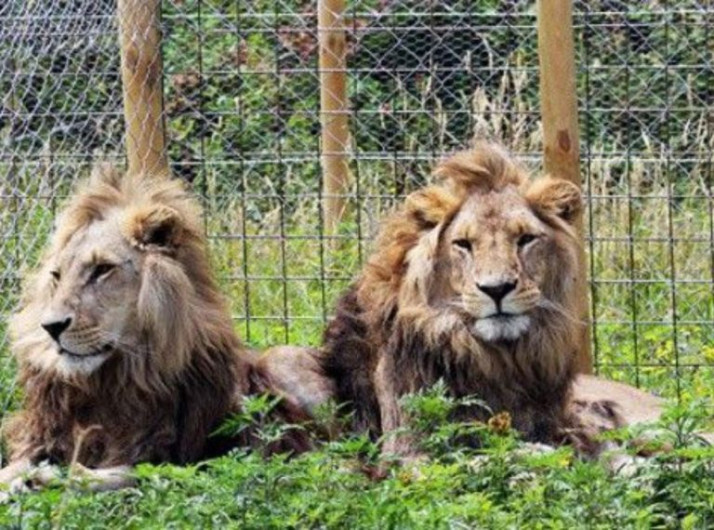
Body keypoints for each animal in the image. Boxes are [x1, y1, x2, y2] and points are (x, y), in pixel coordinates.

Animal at [0, 165, 305, 495]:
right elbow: (15, 465)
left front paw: (51, 477)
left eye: (102, 269)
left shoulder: (181, 457)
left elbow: (123, 474)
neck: (113, 380)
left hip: (282, 361)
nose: (51, 327)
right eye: (56, 276)